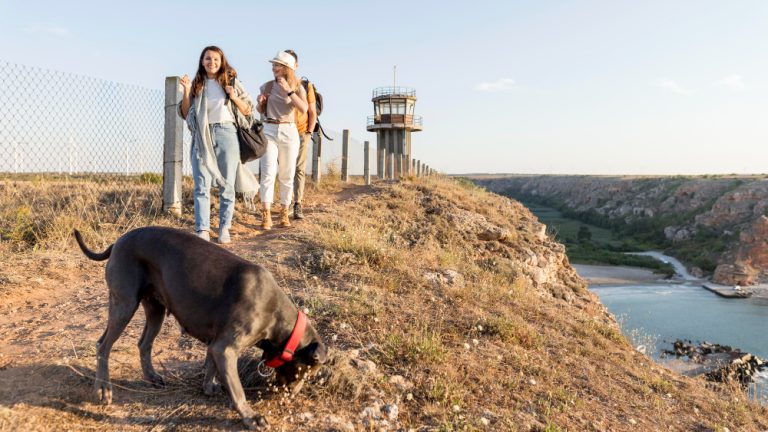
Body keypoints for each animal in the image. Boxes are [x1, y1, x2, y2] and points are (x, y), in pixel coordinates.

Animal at [75, 226, 330, 428]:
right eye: (308, 372)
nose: (291, 397)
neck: (276, 314)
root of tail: (117, 242)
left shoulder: (216, 344)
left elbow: (210, 366)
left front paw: (209, 386)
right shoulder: (225, 348)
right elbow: (237, 390)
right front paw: (250, 417)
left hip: (156, 309)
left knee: (143, 343)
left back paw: (152, 376)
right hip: (124, 304)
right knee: (103, 345)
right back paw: (103, 390)